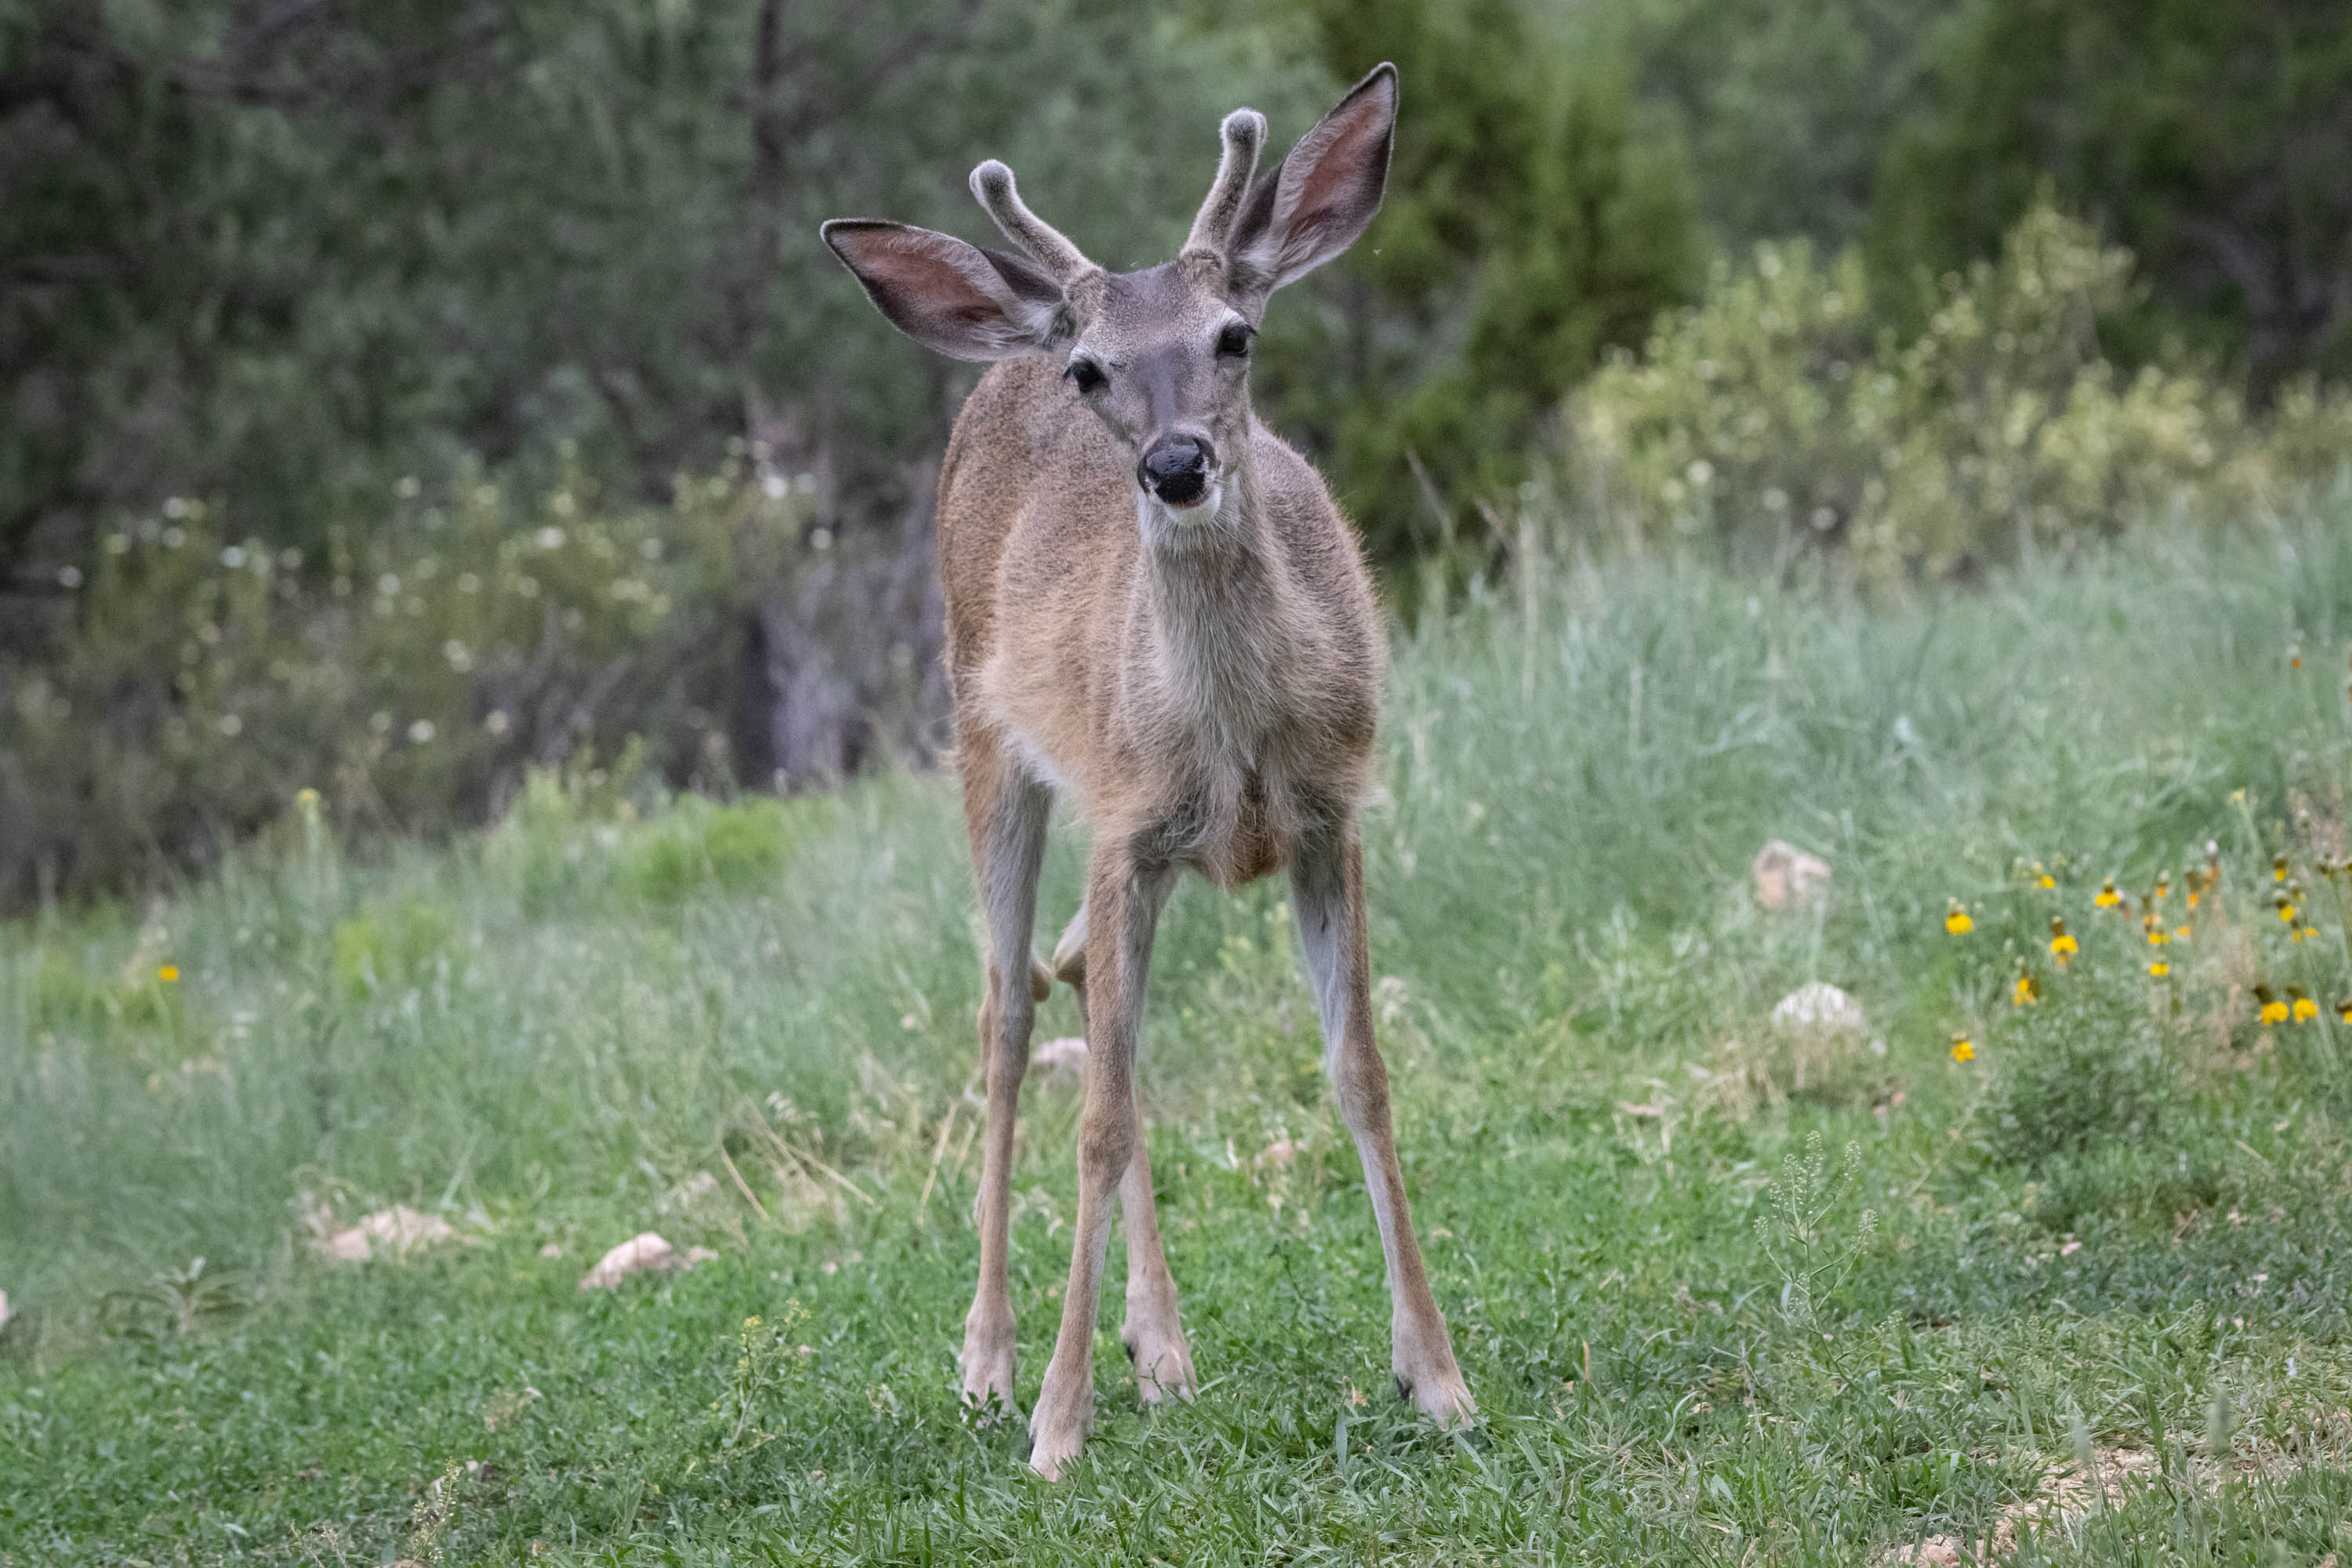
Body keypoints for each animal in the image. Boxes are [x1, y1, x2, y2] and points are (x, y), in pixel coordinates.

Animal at [821, 63, 1472, 1480]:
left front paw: (1437, 1375)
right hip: (986, 741)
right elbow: (1101, 1116)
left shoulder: (1329, 817)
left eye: (1236, 335)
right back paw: (991, 1359)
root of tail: (992, 356)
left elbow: (1360, 1074)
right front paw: (1058, 1426)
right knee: (1011, 1010)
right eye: (1094, 369)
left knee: (1090, 997)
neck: (1235, 731)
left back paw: (1160, 1346)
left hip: (1141, 851)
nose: (1175, 464)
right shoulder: (1122, 824)